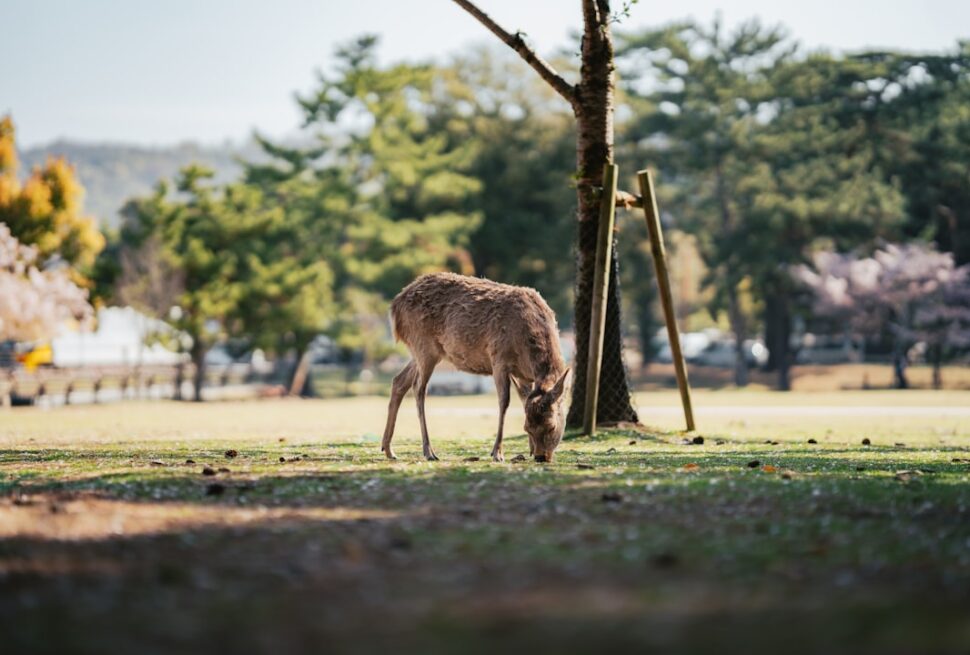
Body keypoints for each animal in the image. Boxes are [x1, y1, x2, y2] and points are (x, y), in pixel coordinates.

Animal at [381, 272, 570, 463]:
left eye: (551, 427)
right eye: (527, 428)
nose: (540, 457)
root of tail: (395, 307)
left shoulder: (523, 374)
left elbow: (525, 399)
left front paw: (526, 451)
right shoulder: (499, 358)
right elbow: (504, 401)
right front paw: (497, 453)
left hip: (421, 352)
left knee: (399, 381)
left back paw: (388, 449)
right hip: (423, 345)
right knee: (419, 388)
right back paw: (428, 451)